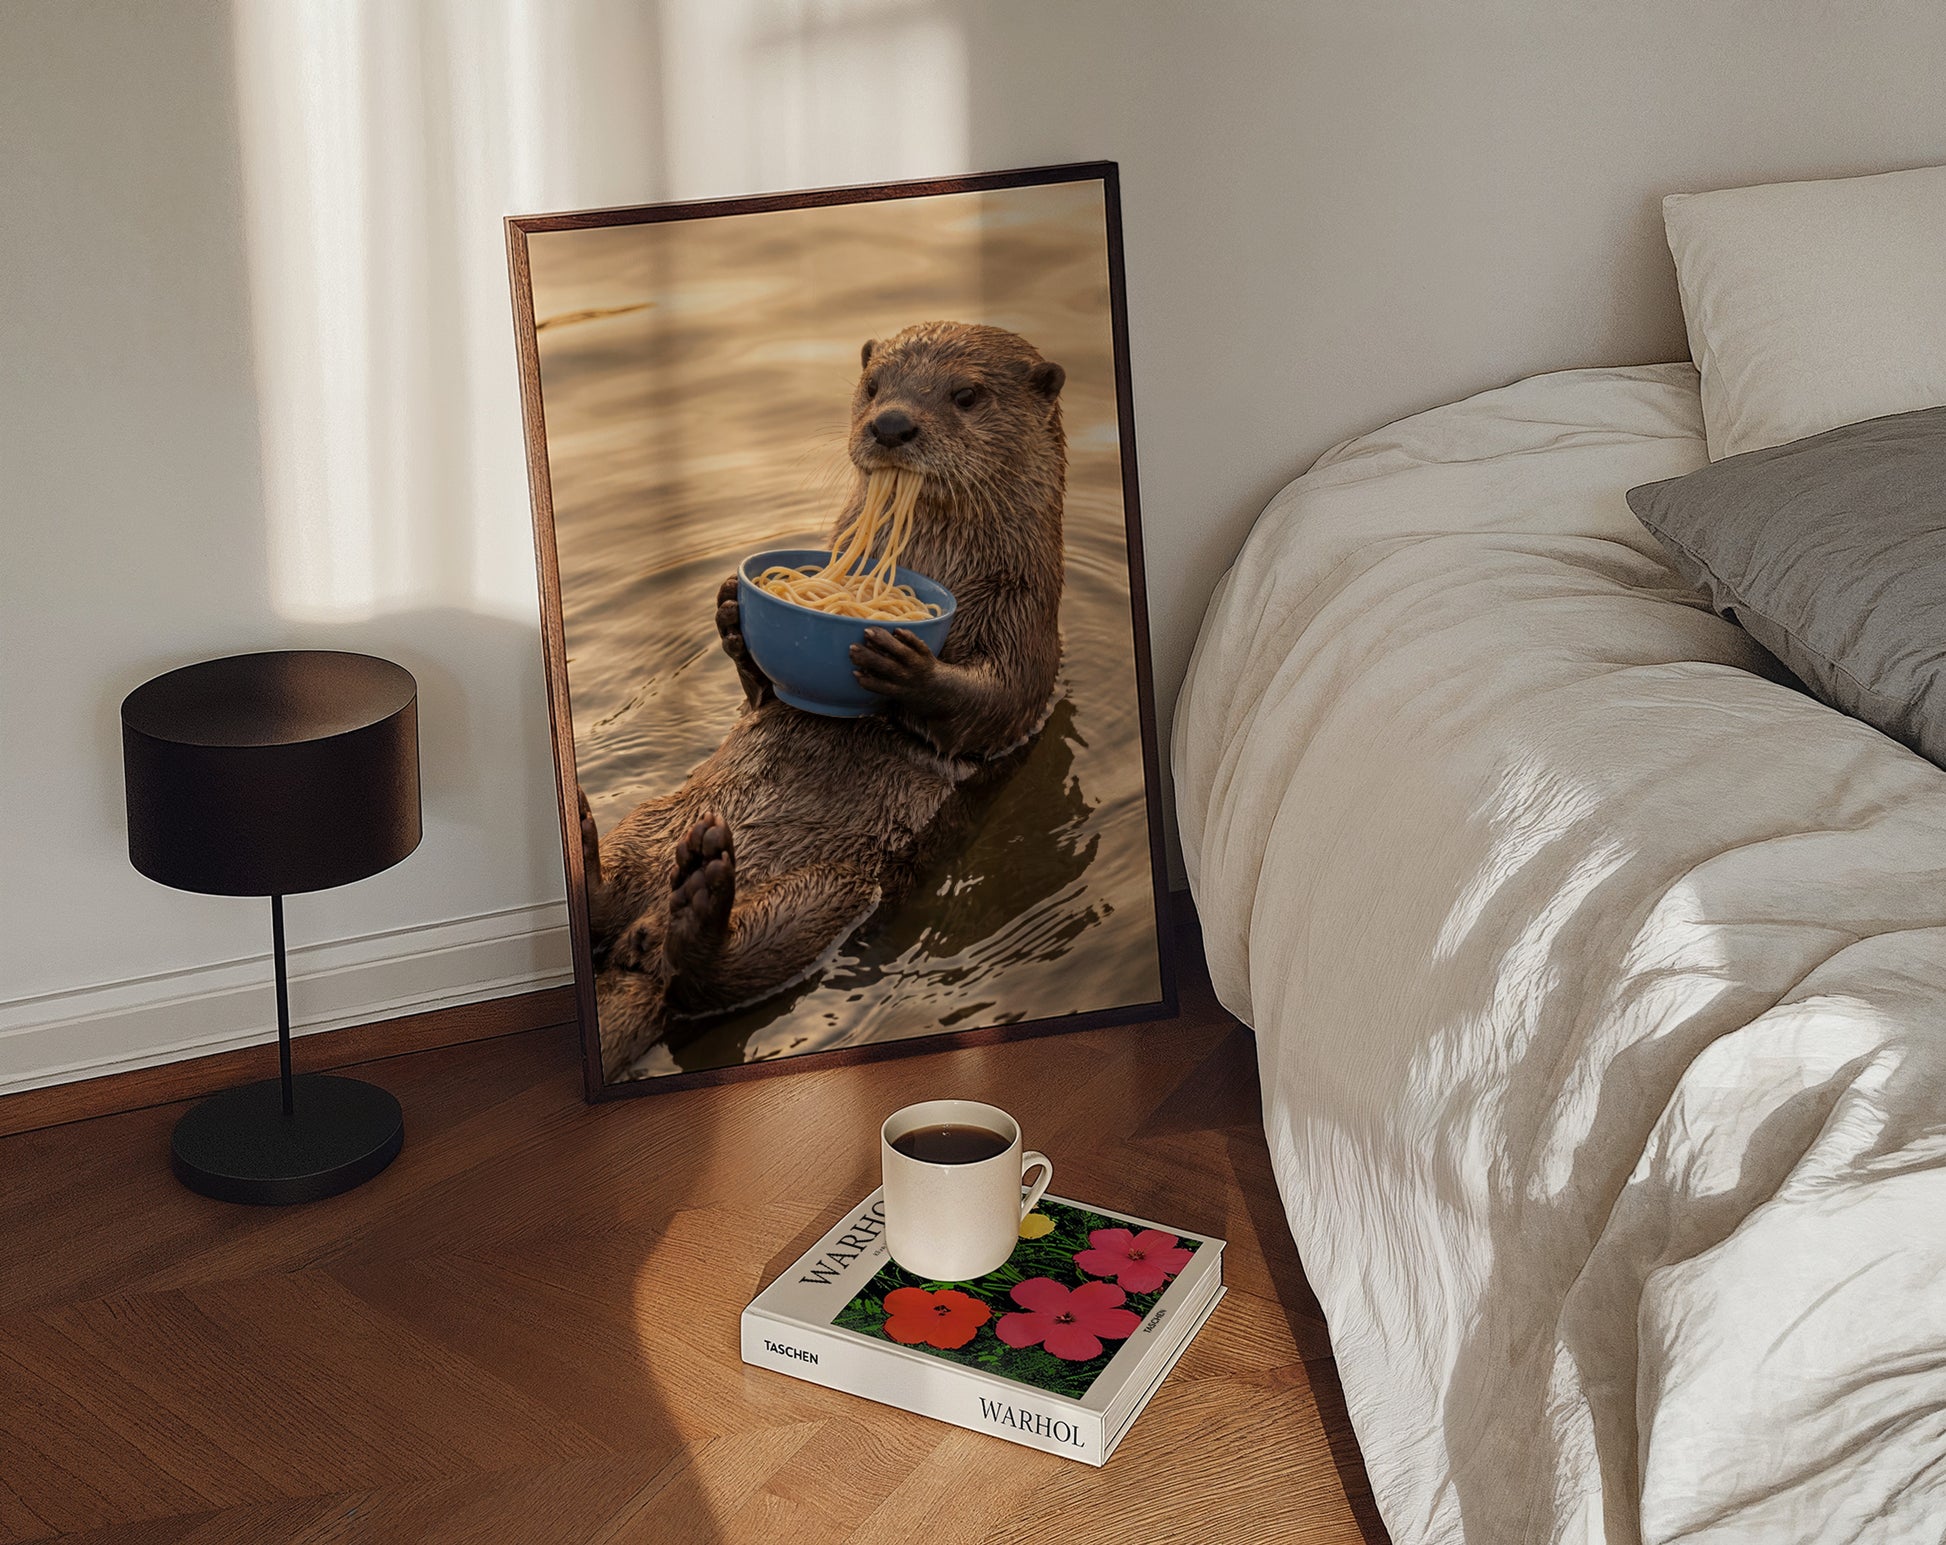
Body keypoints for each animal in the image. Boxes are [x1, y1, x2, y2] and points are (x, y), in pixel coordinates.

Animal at [579, 321, 1068, 1079]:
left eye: (966, 394)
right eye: (873, 384)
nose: (892, 423)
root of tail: (640, 935)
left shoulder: (1029, 623)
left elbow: (998, 702)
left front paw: (908, 664)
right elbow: (759, 693)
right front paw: (731, 611)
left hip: (828, 894)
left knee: (713, 975)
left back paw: (697, 904)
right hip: (653, 824)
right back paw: (594, 849)